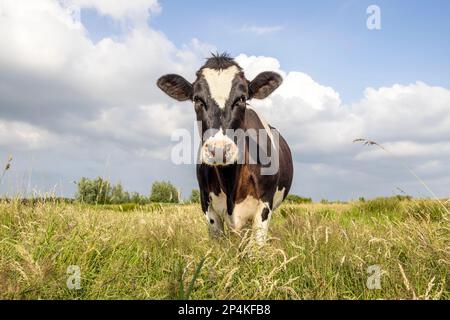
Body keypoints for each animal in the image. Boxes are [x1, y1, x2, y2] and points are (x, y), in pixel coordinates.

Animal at [156, 52, 294, 244]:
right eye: (197, 99)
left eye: (242, 98)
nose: (219, 150)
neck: (230, 181)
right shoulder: (206, 204)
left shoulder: (265, 204)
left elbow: (257, 247)